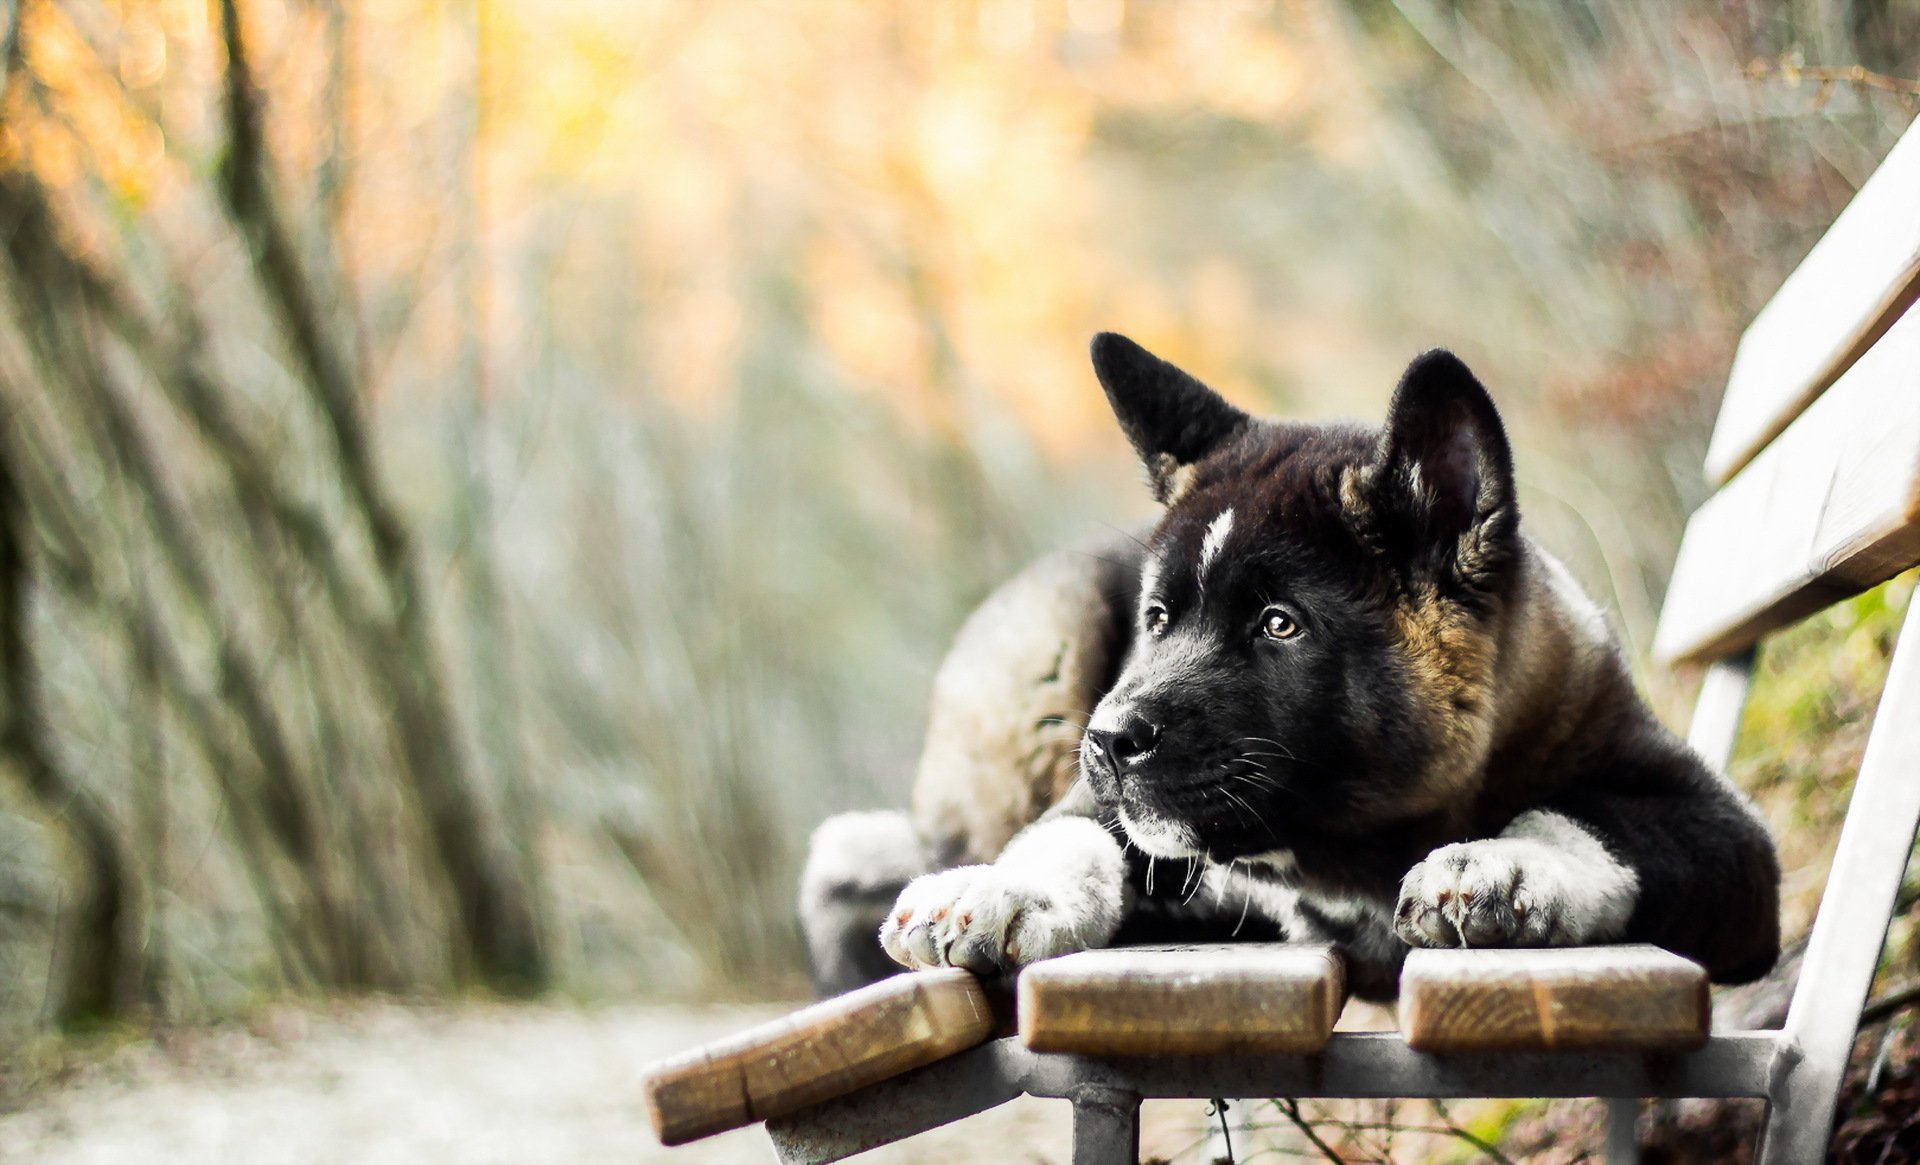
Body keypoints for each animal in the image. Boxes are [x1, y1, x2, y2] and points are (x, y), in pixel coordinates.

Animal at [794, 335, 1781, 1005]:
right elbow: (1067, 835)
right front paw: (997, 887)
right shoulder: (1130, 829)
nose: (1105, 742)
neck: (1349, 852)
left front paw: (1503, 863)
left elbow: (1584, 819)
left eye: (1280, 625)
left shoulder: (1726, 838)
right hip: (1044, 636)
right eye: (1157, 621)